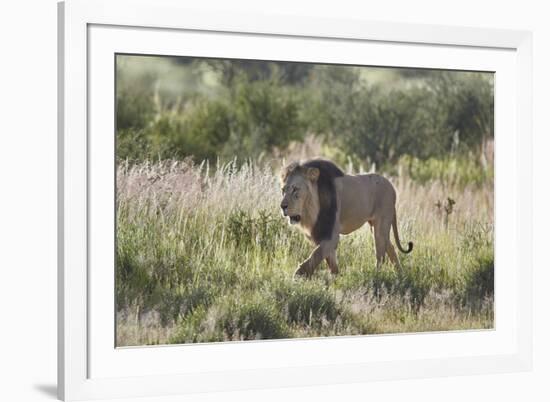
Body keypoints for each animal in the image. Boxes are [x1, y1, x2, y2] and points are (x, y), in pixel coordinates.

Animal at [280, 157, 414, 276]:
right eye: (283, 190)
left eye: (295, 189)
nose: (282, 206)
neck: (310, 210)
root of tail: (392, 187)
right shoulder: (320, 233)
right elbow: (329, 260)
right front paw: (335, 277)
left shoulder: (331, 235)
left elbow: (315, 255)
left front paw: (298, 275)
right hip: (375, 225)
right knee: (390, 247)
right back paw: (400, 274)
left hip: (380, 227)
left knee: (380, 255)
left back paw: (378, 275)